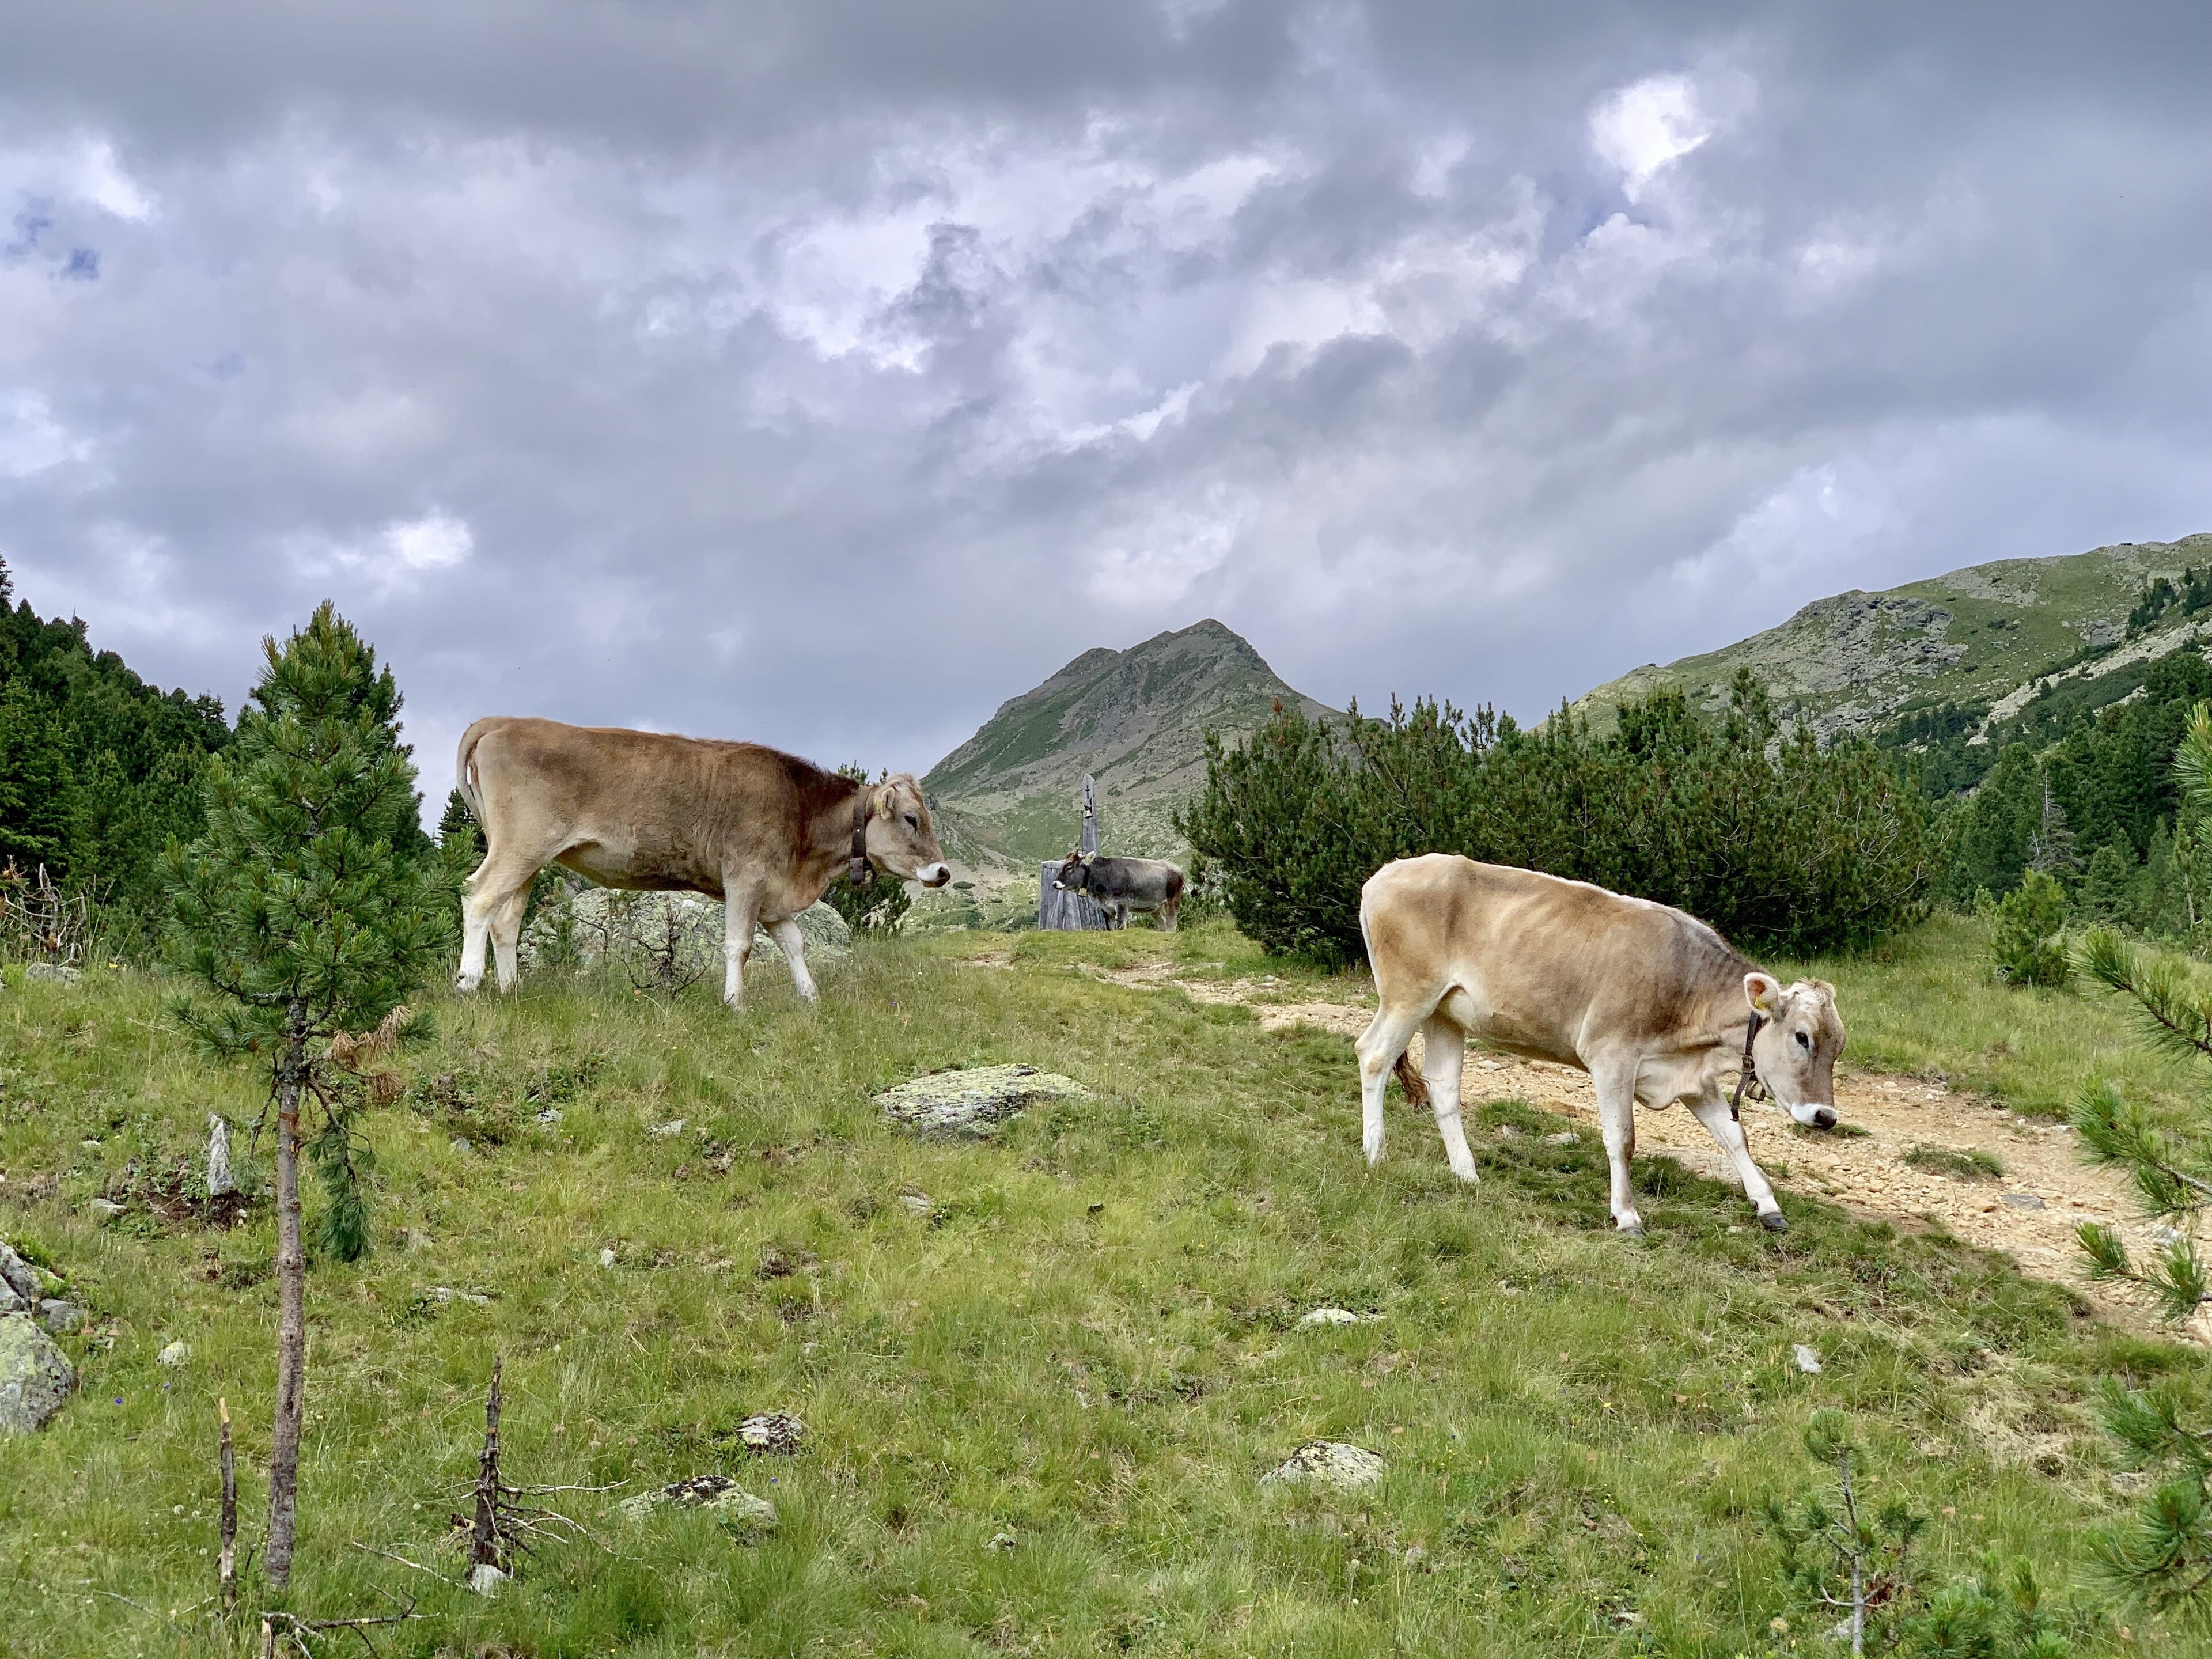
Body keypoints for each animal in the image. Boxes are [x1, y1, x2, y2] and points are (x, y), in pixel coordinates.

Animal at [451, 717, 951, 1008]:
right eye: (912, 819)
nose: (943, 872)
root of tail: (502, 722)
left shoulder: (773, 894)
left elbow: (795, 944)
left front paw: (810, 998)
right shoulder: (746, 876)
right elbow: (739, 945)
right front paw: (735, 1003)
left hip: (530, 856)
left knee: (507, 919)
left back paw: (511, 991)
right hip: (521, 844)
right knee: (479, 897)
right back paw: (469, 980)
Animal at [1052, 851, 1186, 931]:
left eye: (1069, 867)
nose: (1055, 883)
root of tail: (1177, 868)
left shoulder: (1122, 904)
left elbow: (1121, 926)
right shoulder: (1105, 908)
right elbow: (1110, 927)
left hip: (1174, 900)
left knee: (1172, 924)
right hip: (1156, 908)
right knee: (1164, 923)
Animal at [1353, 854, 1844, 1236]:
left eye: (1838, 1047)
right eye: (1802, 1037)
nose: (1825, 1116)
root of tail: (1387, 873)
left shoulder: (1690, 1077)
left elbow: (1734, 1136)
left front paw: (1768, 1205)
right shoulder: (1612, 1056)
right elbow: (1622, 1138)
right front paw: (1627, 1216)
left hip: (1446, 1014)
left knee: (1443, 1089)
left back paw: (1467, 1173)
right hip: (1408, 995)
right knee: (1373, 1056)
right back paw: (1376, 1154)